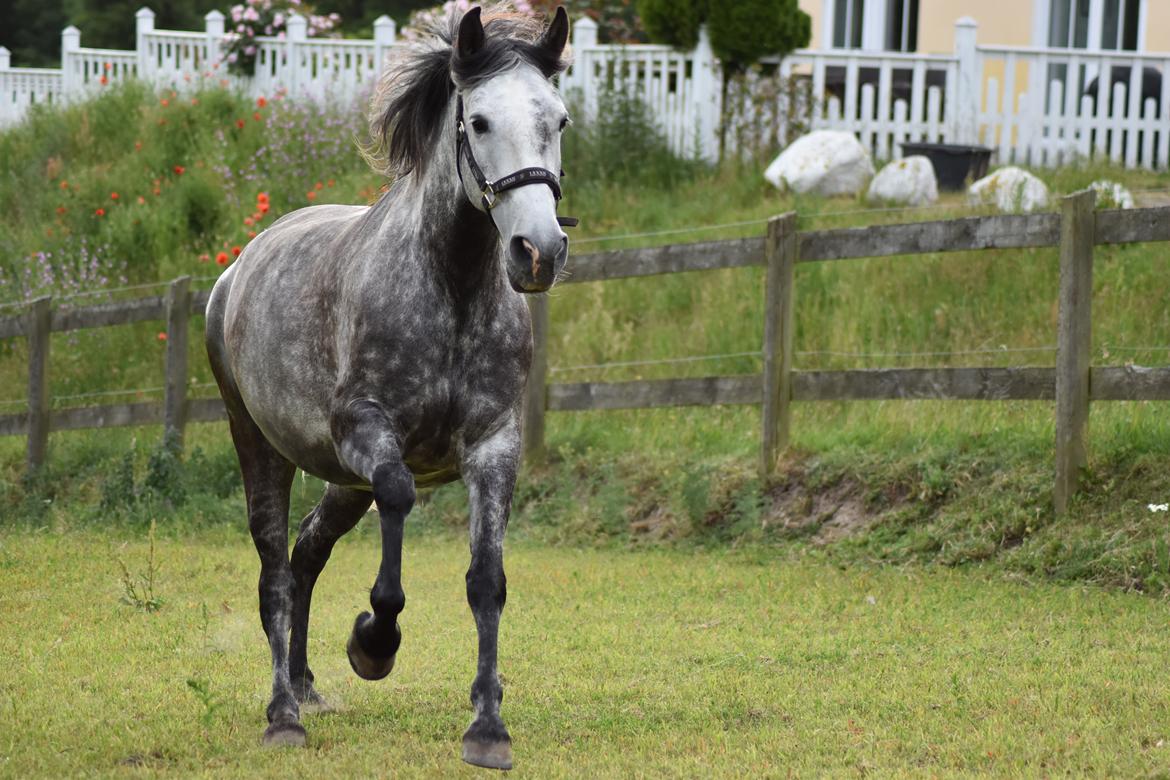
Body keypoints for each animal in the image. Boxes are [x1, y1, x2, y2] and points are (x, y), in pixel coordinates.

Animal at [210, 7, 575, 767]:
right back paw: (284, 713)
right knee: (275, 572)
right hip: (262, 445)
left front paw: (488, 728)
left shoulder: (494, 446)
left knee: (307, 553)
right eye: (478, 123)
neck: (452, 288)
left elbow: (487, 580)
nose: (539, 252)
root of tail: (238, 268)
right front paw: (373, 642)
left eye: (558, 120)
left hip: (341, 479)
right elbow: (401, 501)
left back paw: (306, 684)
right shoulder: (368, 432)